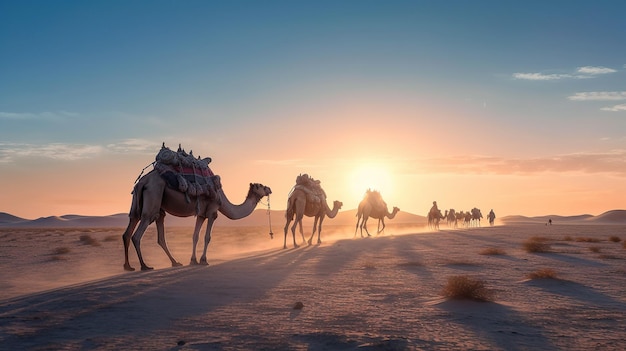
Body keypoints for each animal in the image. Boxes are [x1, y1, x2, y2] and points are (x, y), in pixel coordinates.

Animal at [120, 169, 270, 270]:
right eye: (261, 186)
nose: (269, 189)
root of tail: (142, 182)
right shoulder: (212, 211)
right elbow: (207, 237)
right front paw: (203, 260)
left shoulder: (201, 214)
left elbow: (195, 236)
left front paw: (193, 260)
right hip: (153, 197)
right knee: (138, 233)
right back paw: (145, 266)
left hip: (140, 205)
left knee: (132, 231)